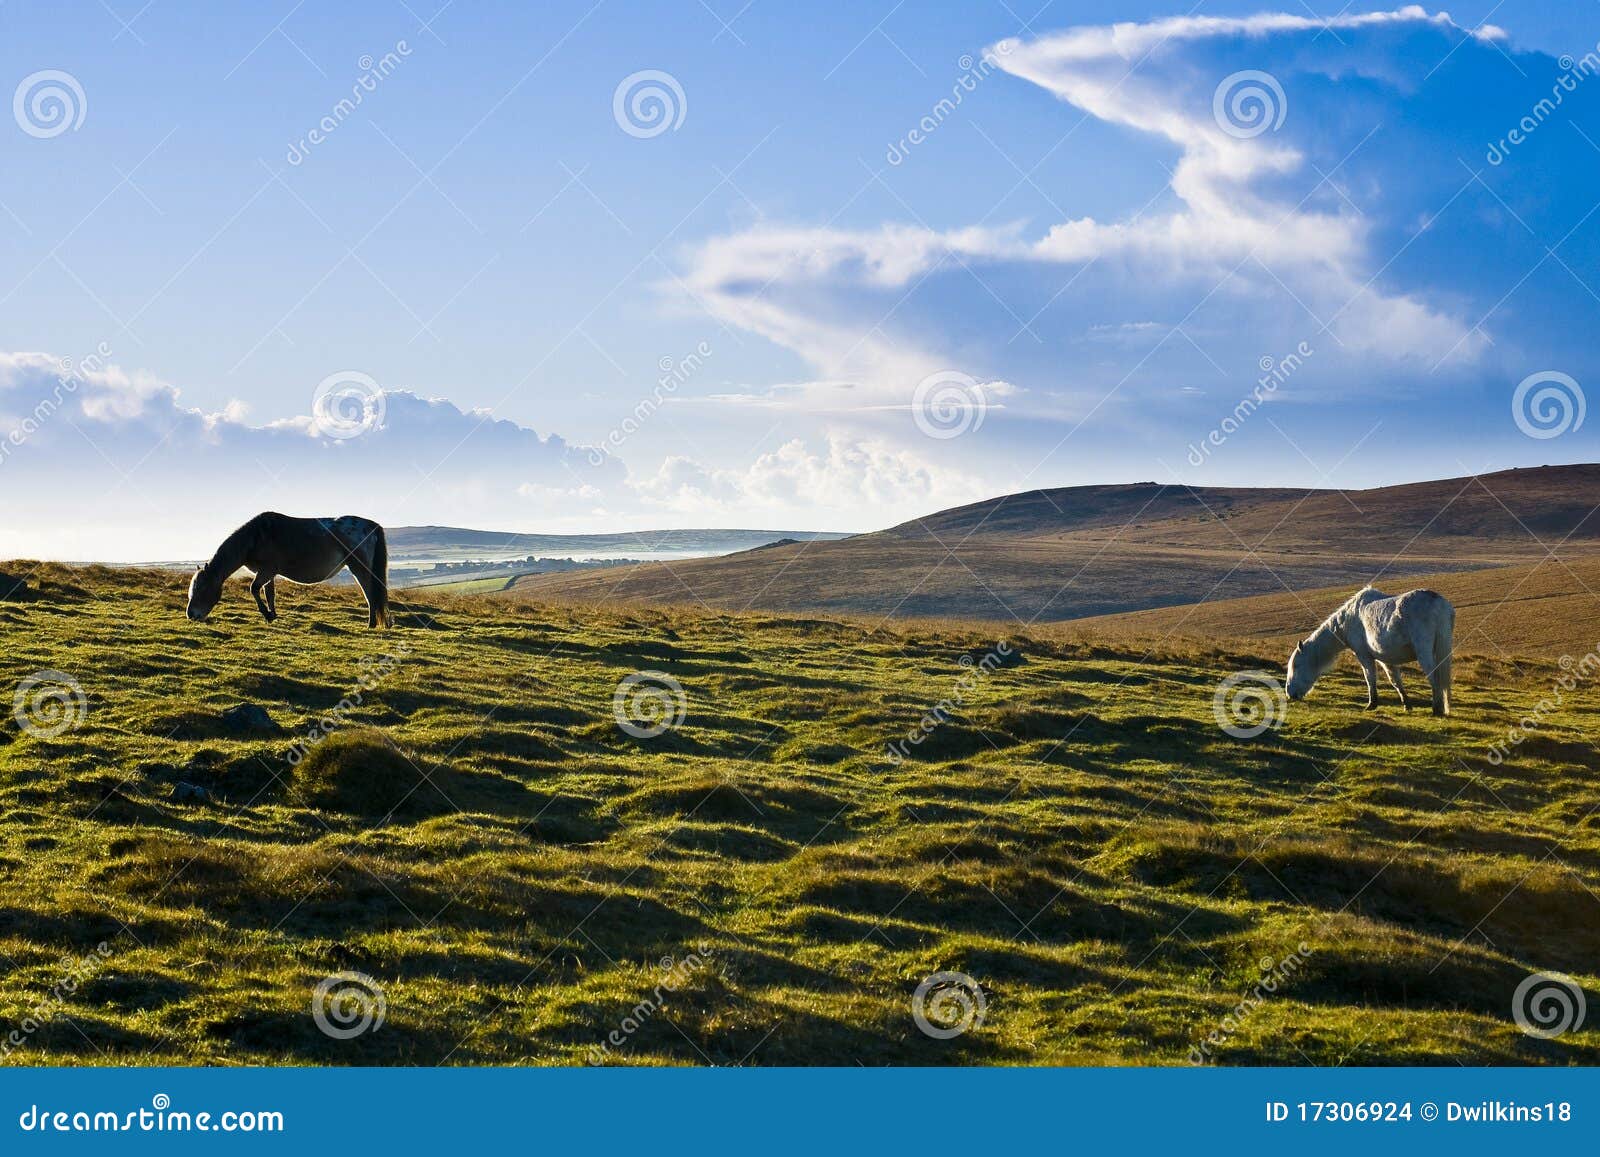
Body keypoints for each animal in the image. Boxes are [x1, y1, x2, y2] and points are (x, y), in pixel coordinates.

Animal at [183, 512, 387, 630]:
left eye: (202, 588)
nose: (191, 615)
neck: (256, 537)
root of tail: (371, 525)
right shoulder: (268, 573)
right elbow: (269, 594)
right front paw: (272, 615)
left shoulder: (266, 570)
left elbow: (253, 589)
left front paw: (267, 614)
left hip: (359, 567)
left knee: (370, 593)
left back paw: (370, 624)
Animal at [1280, 588, 1459, 713]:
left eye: (1296, 666)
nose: (1290, 694)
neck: (1348, 619)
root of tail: (1439, 603)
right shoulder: (1385, 659)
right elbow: (1395, 681)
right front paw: (1406, 705)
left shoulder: (1364, 655)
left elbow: (1369, 678)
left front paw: (1372, 704)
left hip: (1425, 653)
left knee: (1434, 677)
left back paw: (1437, 709)